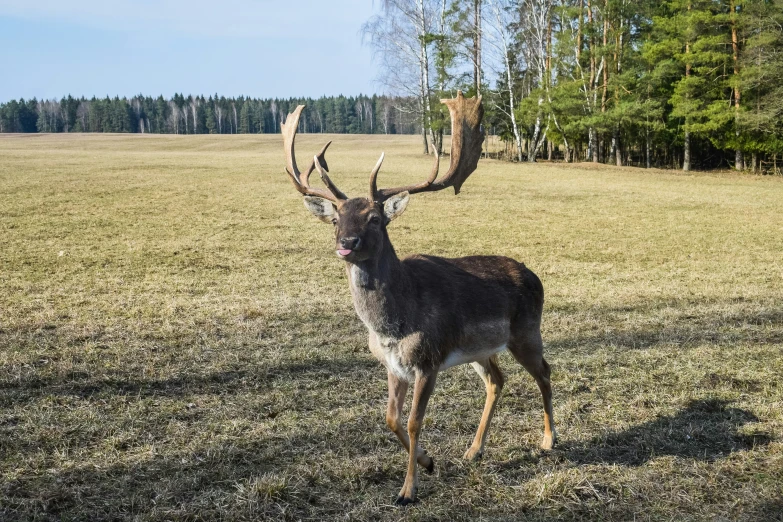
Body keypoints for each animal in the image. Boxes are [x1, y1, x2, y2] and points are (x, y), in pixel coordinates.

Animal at [278, 92, 556, 504]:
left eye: (375, 218)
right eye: (336, 218)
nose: (346, 243)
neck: (393, 325)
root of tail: (534, 275)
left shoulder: (428, 359)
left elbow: (412, 421)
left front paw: (407, 489)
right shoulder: (394, 365)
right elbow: (391, 419)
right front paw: (428, 462)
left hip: (526, 332)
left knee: (545, 372)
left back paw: (549, 440)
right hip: (481, 349)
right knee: (496, 380)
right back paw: (473, 450)